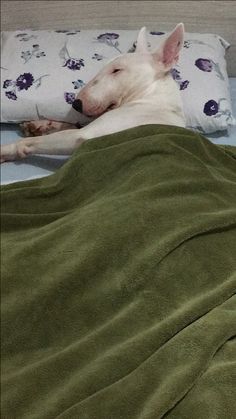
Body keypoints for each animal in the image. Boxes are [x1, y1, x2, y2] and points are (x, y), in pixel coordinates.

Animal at [0, 22, 185, 164]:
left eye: (117, 70)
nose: (76, 104)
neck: (152, 100)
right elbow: (73, 124)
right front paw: (39, 125)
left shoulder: (85, 136)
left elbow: (33, 141)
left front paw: (6, 150)